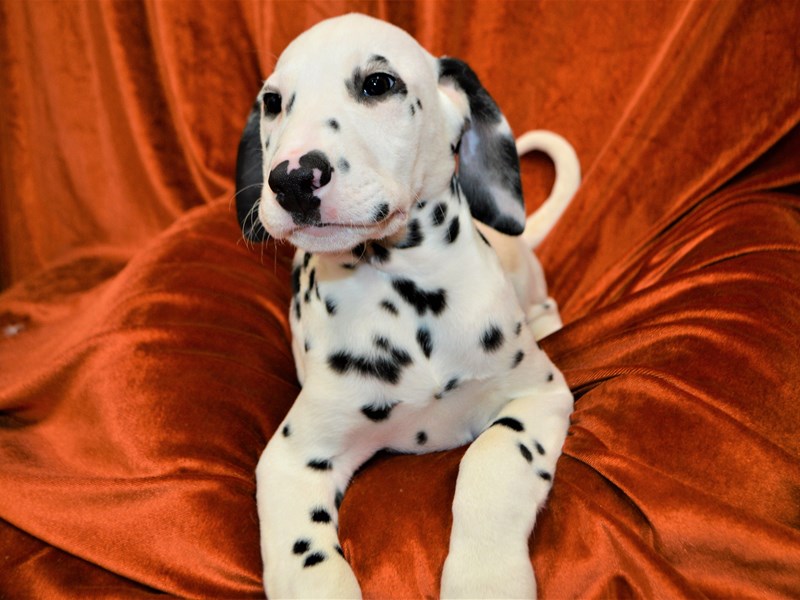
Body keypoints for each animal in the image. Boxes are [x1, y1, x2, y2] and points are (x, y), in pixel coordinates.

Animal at [234, 11, 580, 596]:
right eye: (274, 102)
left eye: (378, 84)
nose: (292, 179)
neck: (406, 300)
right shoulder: (290, 460)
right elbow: (306, 560)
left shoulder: (537, 394)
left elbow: (492, 458)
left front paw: (486, 577)